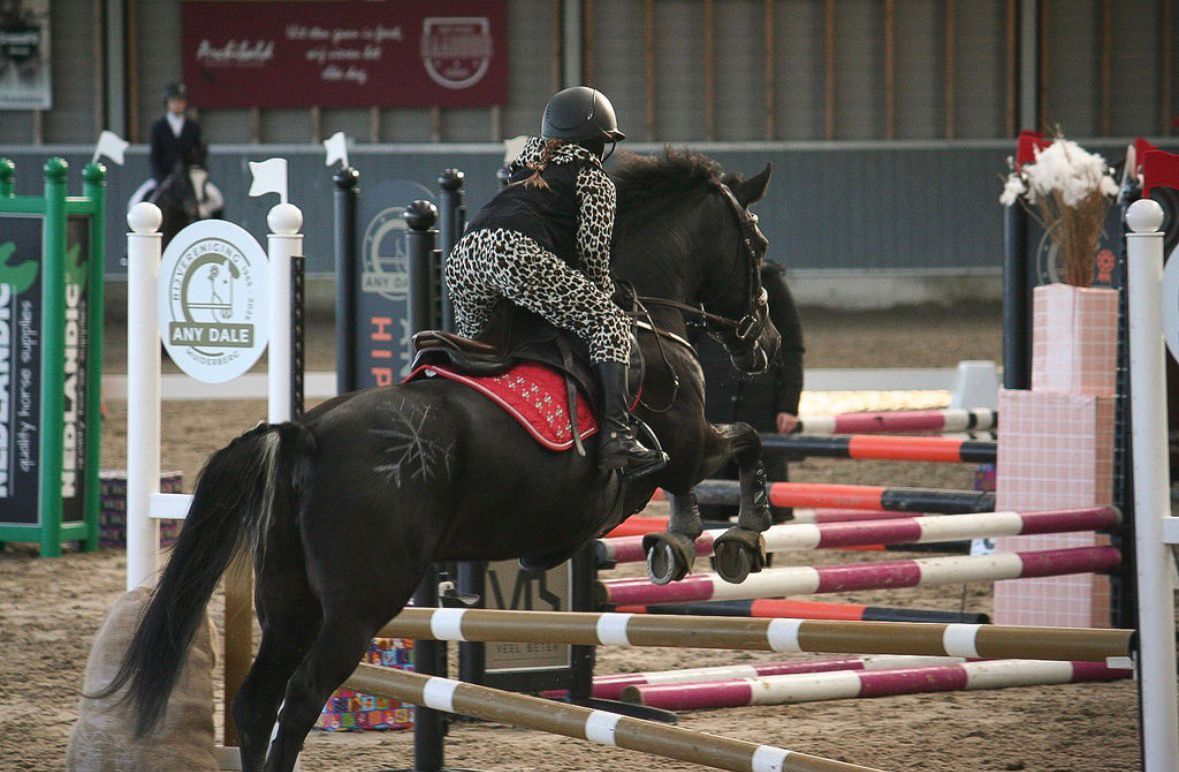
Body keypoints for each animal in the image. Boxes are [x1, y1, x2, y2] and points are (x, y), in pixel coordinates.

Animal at [97, 149, 782, 772]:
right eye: (756, 244)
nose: (767, 344)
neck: (647, 314)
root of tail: (304, 433)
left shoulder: (681, 456)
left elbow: (715, 468)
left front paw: (678, 542)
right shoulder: (686, 447)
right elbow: (746, 440)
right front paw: (737, 538)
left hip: (290, 601)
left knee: (256, 701)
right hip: (358, 605)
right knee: (300, 699)